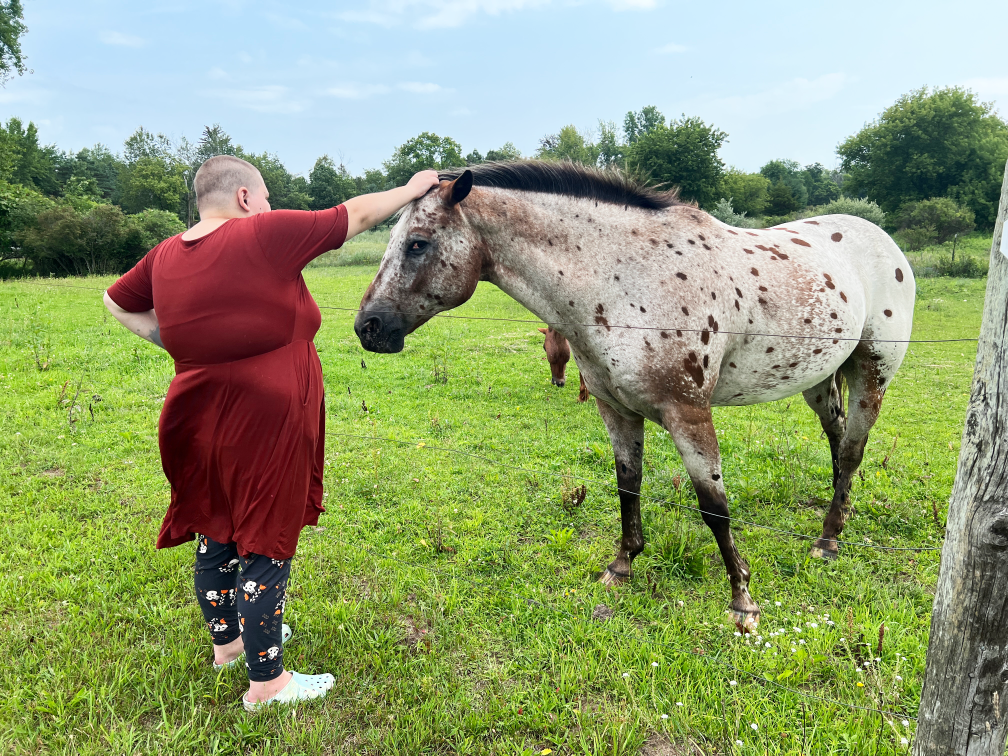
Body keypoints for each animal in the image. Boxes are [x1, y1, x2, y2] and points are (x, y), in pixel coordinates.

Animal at [358, 161, 919, 628]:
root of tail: (883, 242)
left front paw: (742, 599)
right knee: (838, 443)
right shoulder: (616, 409)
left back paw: (828, 540)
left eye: (417, 244)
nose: (369, 327)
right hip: (819, 379)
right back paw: (834, 520)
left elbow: (714, 507)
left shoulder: (688, 414)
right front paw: (622, 565)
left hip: (871, 375)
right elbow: (627, 485)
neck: (625, 279)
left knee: (852, 450)